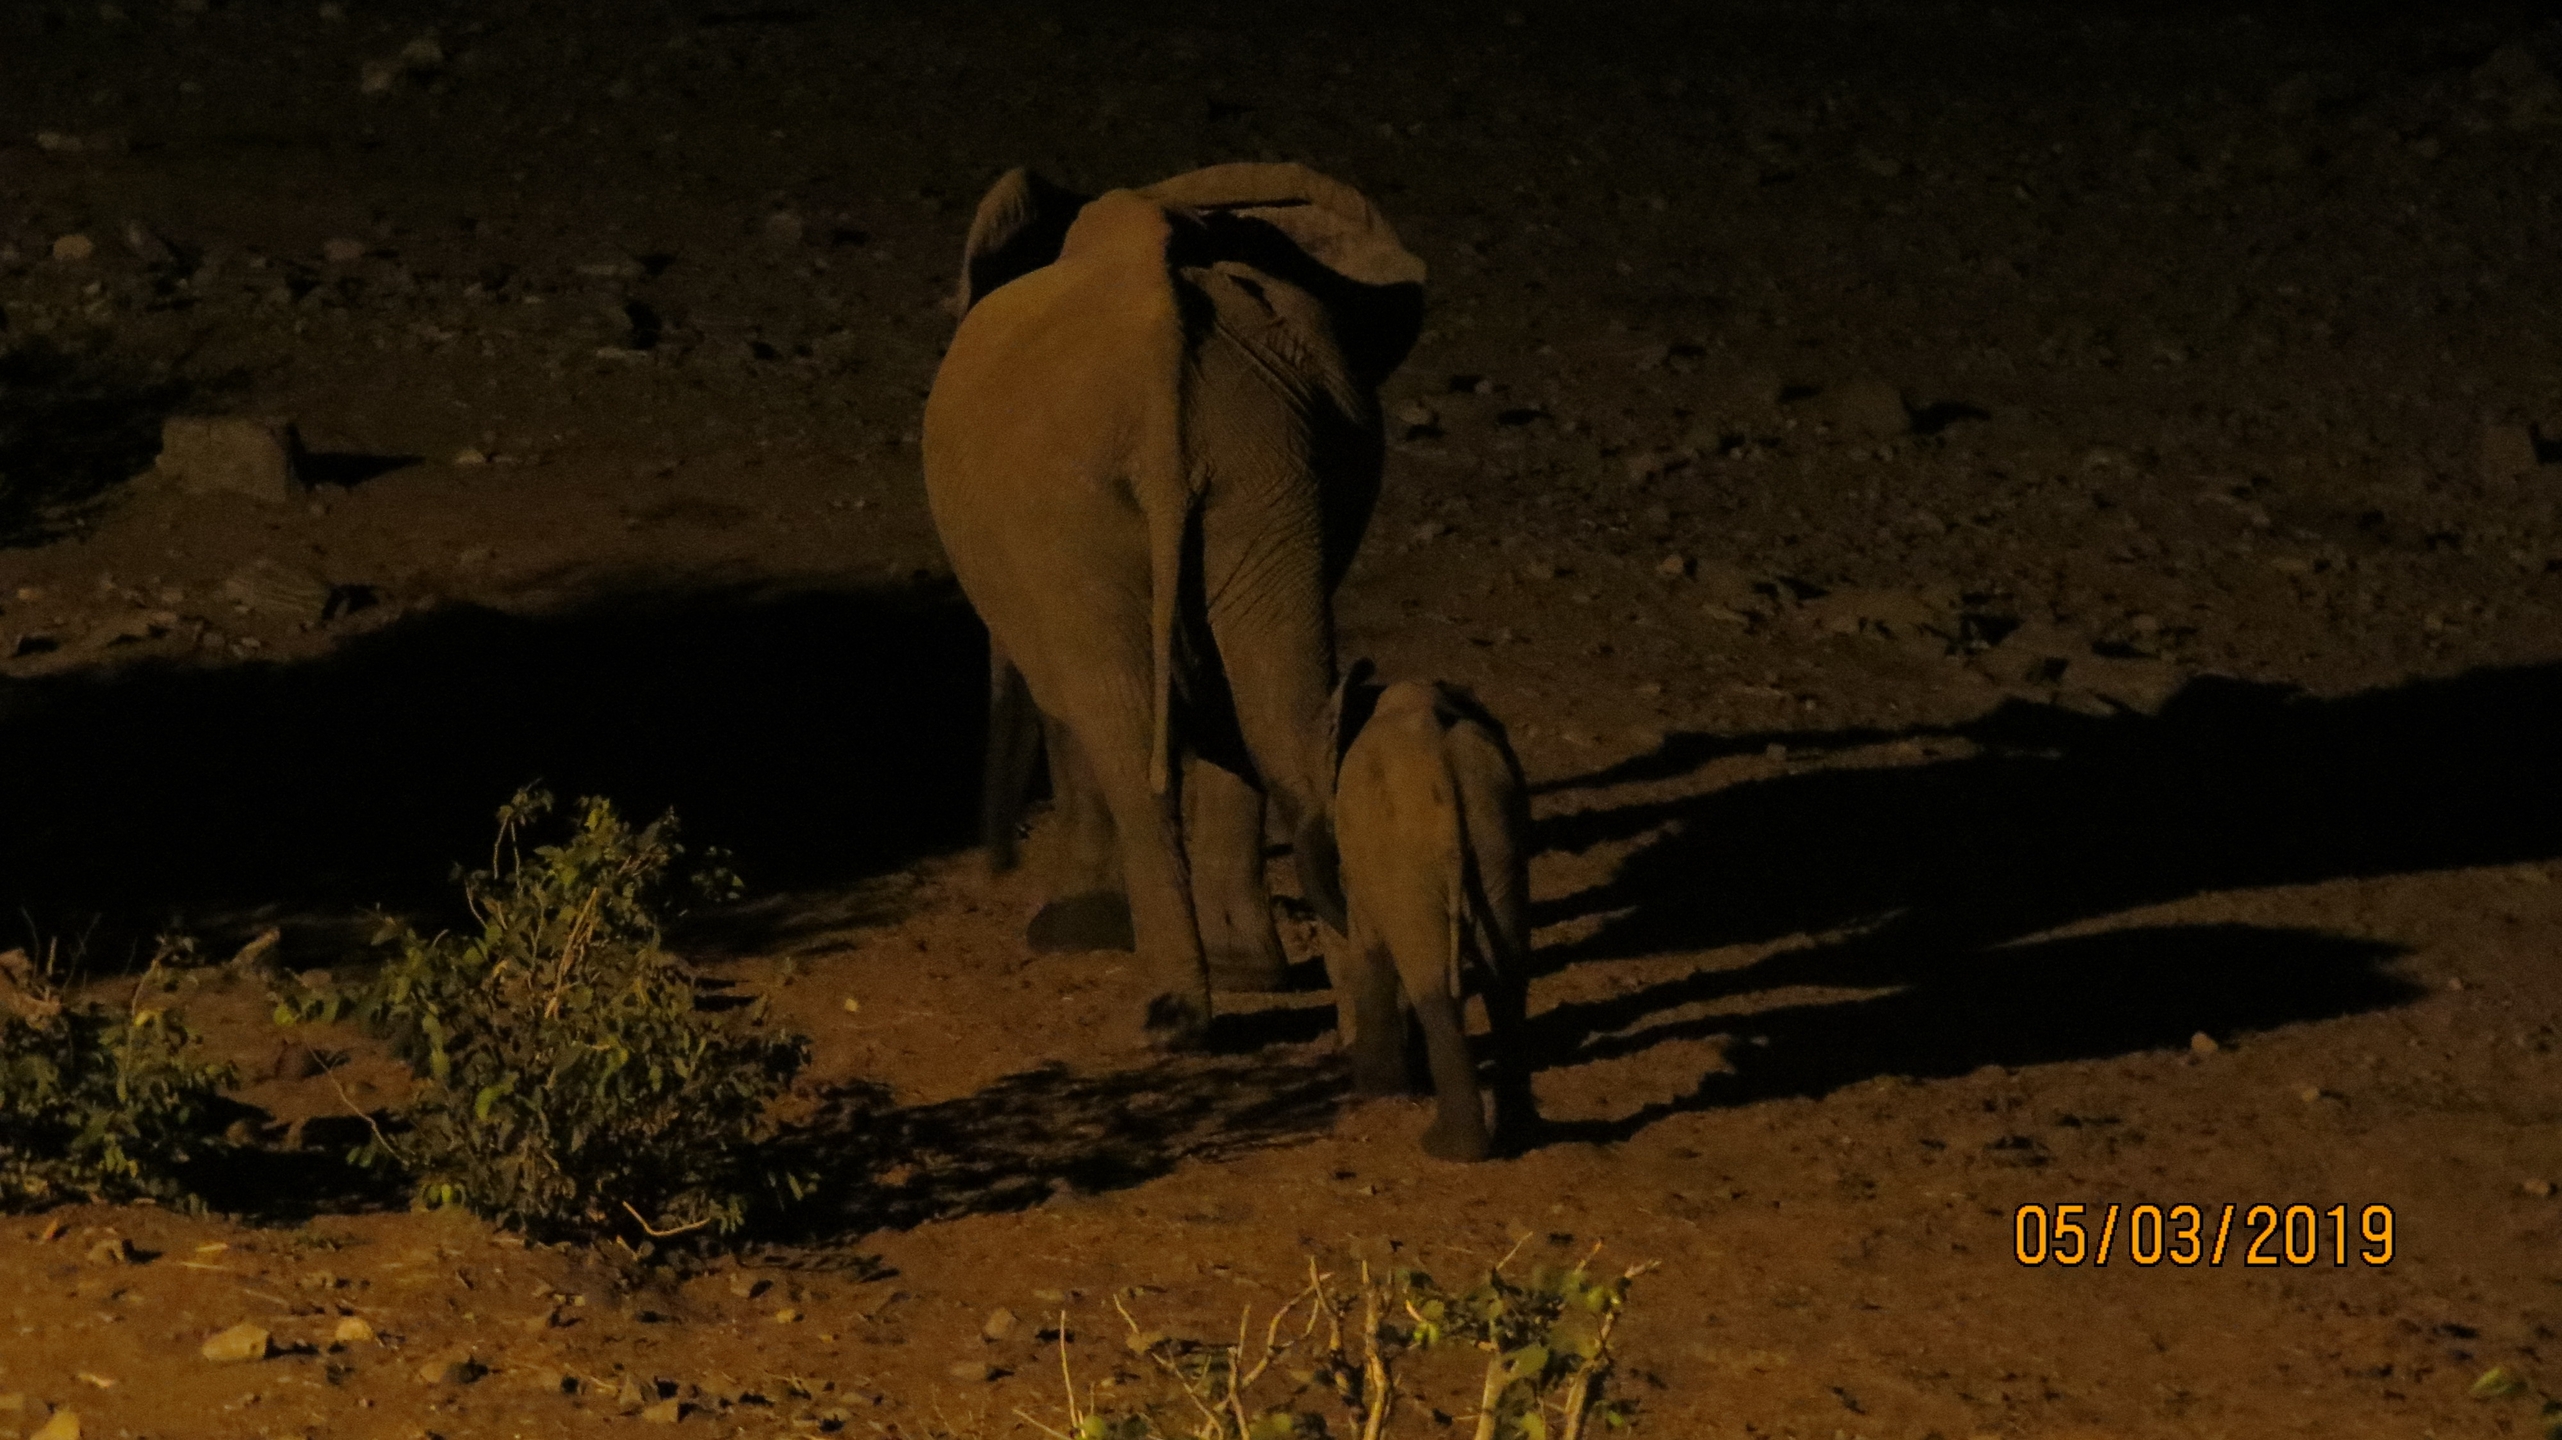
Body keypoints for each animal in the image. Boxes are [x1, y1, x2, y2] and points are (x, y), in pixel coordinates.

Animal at [922, 162, 1426, 1045]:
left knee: (1116, 723)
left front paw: (1073, 936)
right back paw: (1308, 995)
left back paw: (1167, 1008)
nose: (996, 867)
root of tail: (1167, 371)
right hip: (1266, 478)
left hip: (1085, 500)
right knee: (1280, 710)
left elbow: (1071, 705)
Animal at [1327, 668, 1537, 1161]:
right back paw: (1517, 1135)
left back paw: (1449, 1147)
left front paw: (1378, 1090)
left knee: (1433, 978)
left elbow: (1368, 942)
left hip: (1408, 853)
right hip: (1497, 837)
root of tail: (1444, 764)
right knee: (1506, 970)